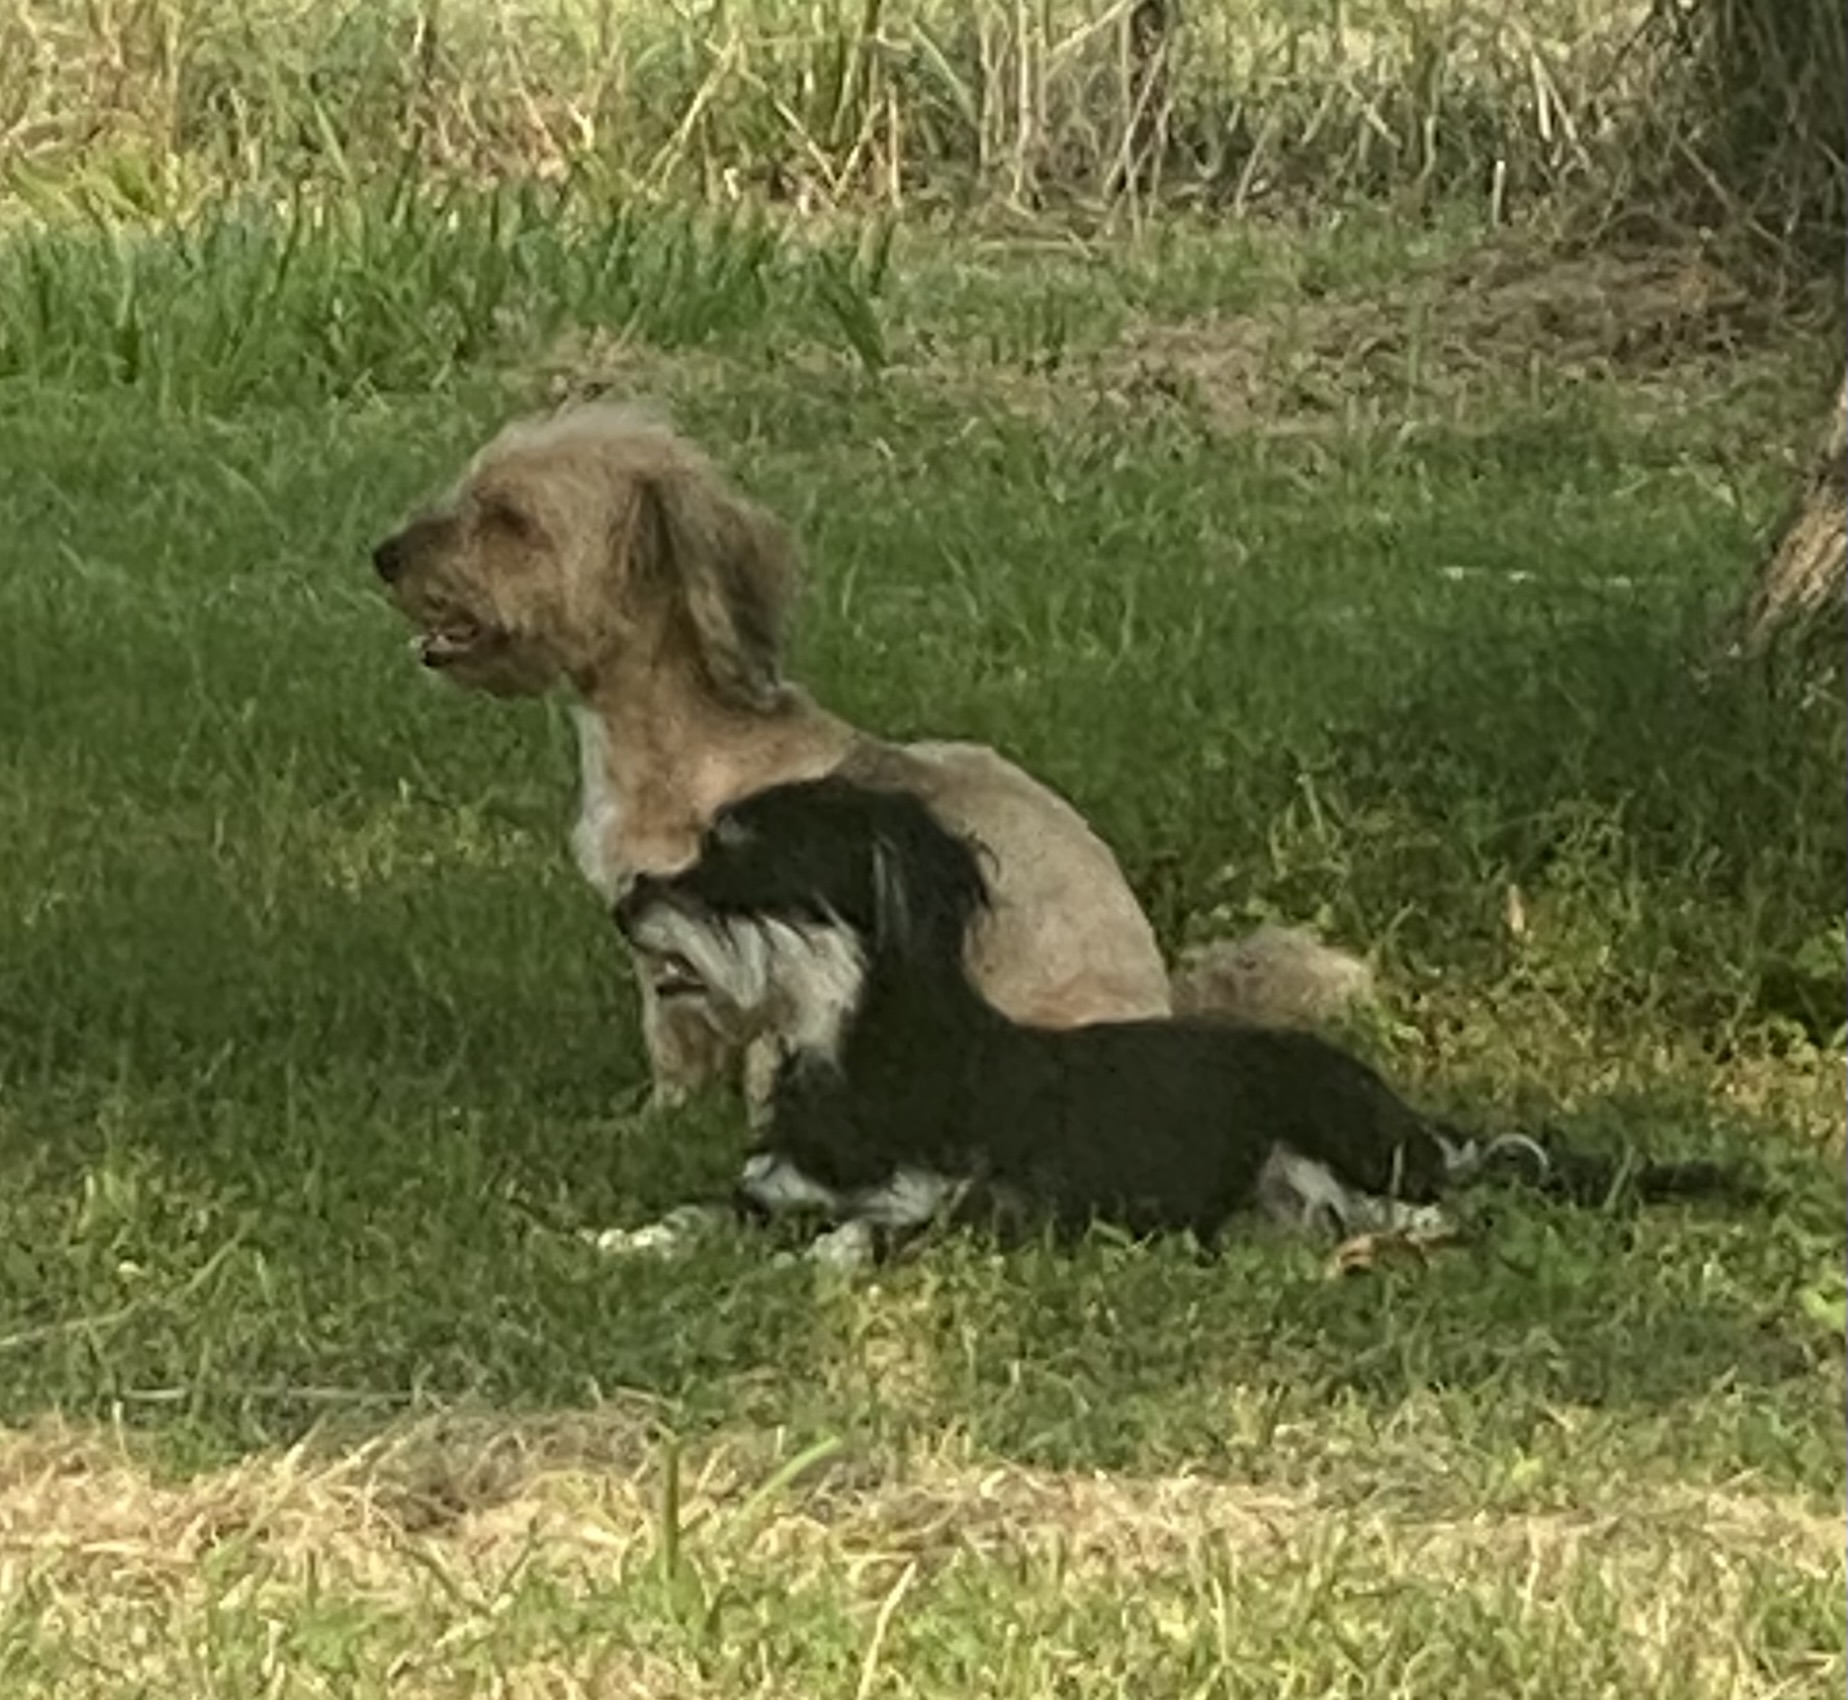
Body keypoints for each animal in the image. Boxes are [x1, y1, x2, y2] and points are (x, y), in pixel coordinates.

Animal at [371, 397, 1374, 1116]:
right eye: (472, 489)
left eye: (510, 520)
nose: (383, 553)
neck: (687, 750)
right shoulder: (665, 965)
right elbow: (674, 1047)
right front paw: (654, 1122)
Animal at [609, 776, 1744, 1271]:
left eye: (737, 854)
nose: (624, 898)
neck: (853, 1060)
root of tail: (1414, 1118)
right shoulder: (771, 1190)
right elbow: (701, 1214)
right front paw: (628, 1237)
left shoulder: (982, 1205)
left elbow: (856, 1234)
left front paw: (806, 1264)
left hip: (1344, 1137)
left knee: (1442, 1211)